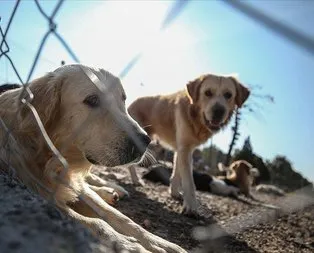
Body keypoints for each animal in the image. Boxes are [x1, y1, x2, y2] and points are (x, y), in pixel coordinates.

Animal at [0, 64, 186, 253]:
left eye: (123, 99)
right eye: (92, 100)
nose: (145, 141)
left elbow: (120, 217)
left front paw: (159, 242)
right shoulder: (39, 193)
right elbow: (96, 223)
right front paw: (129, 244)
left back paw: (111, 190)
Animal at [127, 74, 250, 214]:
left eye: (228, 95)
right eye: (208, 93)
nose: (219, 111)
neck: (195, 116)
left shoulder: (182, 149)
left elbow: (177, 174)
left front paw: (175, 193)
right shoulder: (185, 149)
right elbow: (189, 181)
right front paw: (191, 206)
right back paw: (135, 180)